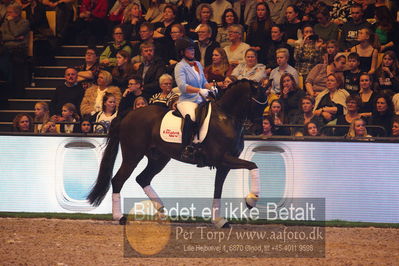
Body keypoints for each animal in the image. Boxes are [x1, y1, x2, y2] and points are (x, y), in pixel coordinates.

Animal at [86, 78, 266, 227]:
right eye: (257, 103)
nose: (260, 129)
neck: (226, 117)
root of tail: (129, 114)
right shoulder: (222, 159)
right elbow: (253, 165)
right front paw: (251, 200)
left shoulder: (224, 164)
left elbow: (218, 189)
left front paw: (218, 220)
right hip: (133, 156)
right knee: (118, 180)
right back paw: (119, 217)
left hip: (159, 158)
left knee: (143, 179)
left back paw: (163, 214)